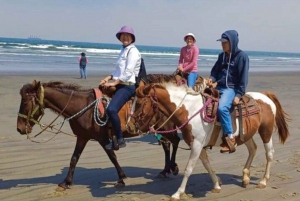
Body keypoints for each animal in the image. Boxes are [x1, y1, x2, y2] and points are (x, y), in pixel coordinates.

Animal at [132, 82, 290, 200]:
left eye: (140, 103)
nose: (132, 126)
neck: (190, 111)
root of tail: (266, 96)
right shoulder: (198, 145)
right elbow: (207, 165)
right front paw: (217, 185)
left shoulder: (196, 145)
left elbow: (188, 169)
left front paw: (178, 193)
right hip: (246, 135)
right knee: (253, 149)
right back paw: (245, 177)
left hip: (266, 132)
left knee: (269, 153)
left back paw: (263, 181)